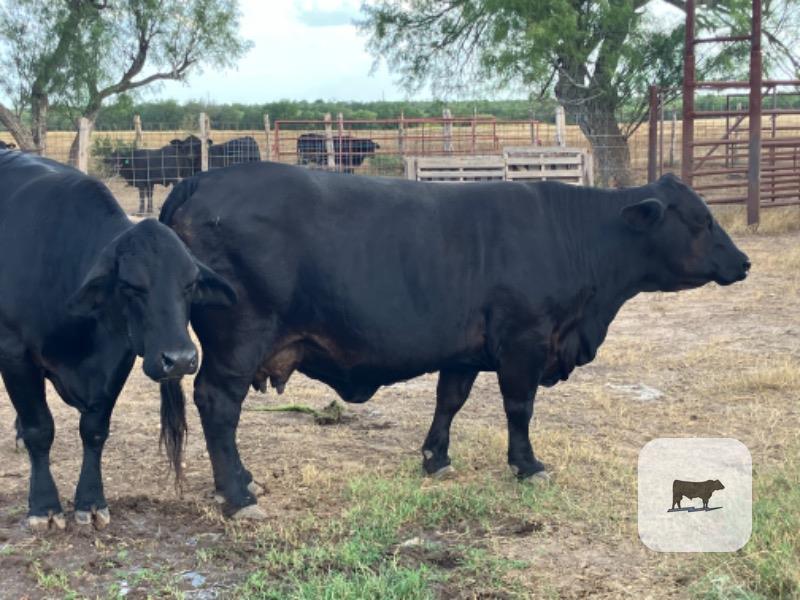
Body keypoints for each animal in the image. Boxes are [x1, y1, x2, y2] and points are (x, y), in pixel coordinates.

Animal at [0, 150, 236, 531]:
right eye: (130, 285)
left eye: (190, 284)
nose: (180, 359)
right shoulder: (15, 354)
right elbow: (40, 429)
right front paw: (44, 506)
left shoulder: (118, 357)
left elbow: (94, 429)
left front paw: (91, 501)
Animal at [158, 165, 750, 519]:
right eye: (702, 220)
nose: (743, 262)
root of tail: (204, 179)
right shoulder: (524, 341)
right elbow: (519, 407)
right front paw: (527, 464)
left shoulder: (464, 350)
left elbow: (450, 401)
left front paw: (435, 457)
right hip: (239, 339)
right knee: (217, 403)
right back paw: (236, 494)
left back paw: (244, 481)